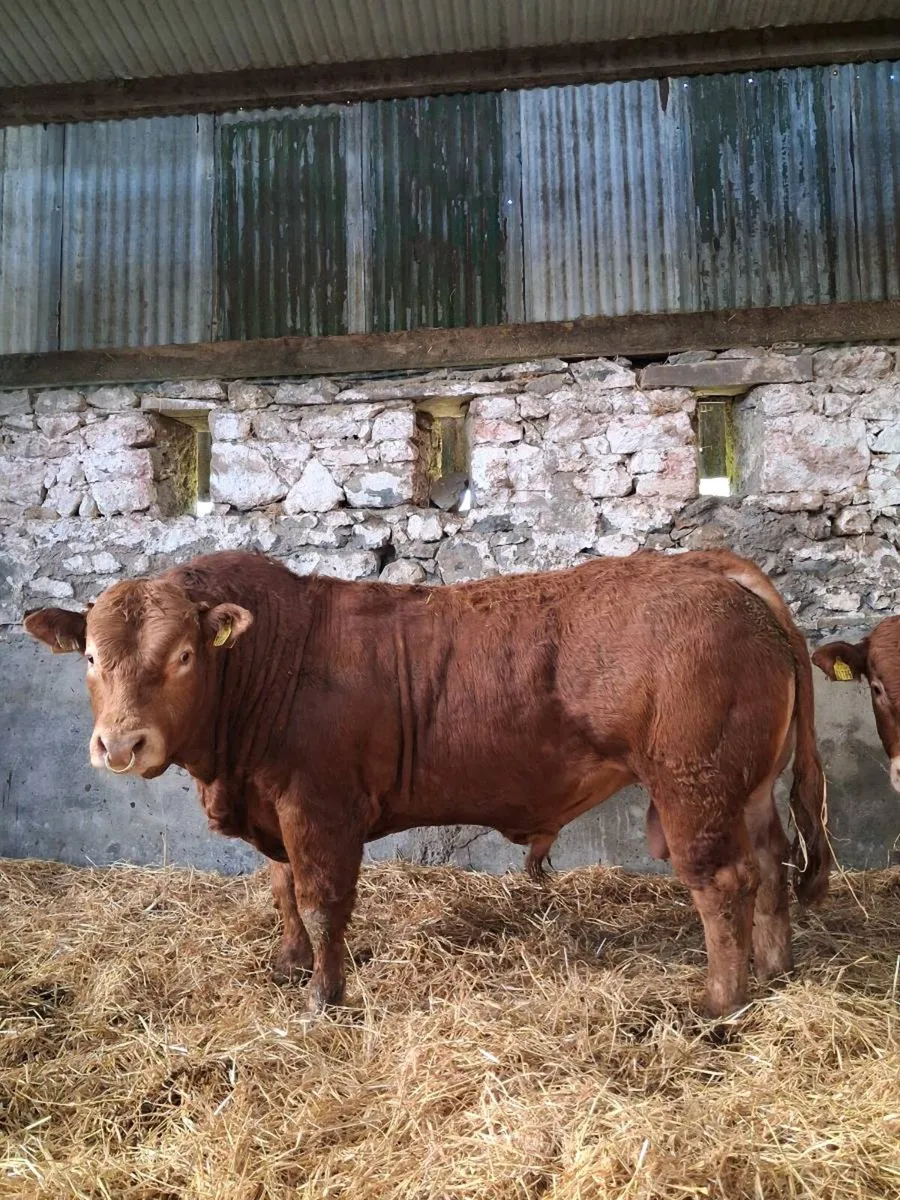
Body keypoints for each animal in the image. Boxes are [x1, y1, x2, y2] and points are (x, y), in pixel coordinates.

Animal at [24, 548, 829, 1018]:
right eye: (90, 656)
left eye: (185, 655)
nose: (120, 744)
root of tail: (710, 570)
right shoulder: (275, 811)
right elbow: (281, 889)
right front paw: (287, 965)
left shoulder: (319, 807)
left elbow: (321, 903)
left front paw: (323, 995)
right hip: (748, 787)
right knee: (770, 863)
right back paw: (774, 969)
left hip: (694, 785)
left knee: (722, 880)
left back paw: (720, 1002)